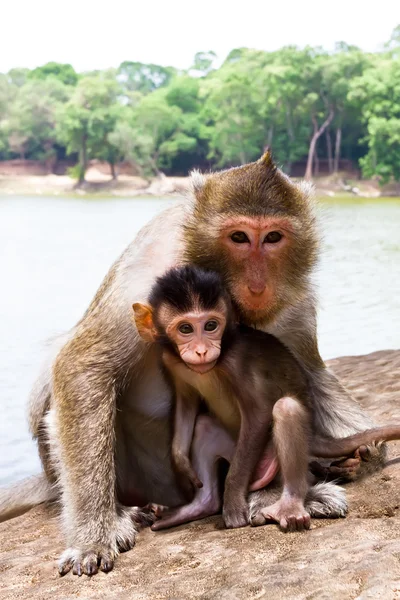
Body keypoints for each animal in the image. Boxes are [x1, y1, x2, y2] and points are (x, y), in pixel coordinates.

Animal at [134, 264, 400, 532]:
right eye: (185, 329)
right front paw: (181, 463)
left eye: (211, 326)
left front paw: (232, 501)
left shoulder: (236, 361)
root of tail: (315, 434)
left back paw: (290, 505)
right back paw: (200, 506)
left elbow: (259, 414)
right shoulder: (171, 361)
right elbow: (186, 403)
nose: (201, 351)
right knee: (204, 425)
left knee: (286, 409)